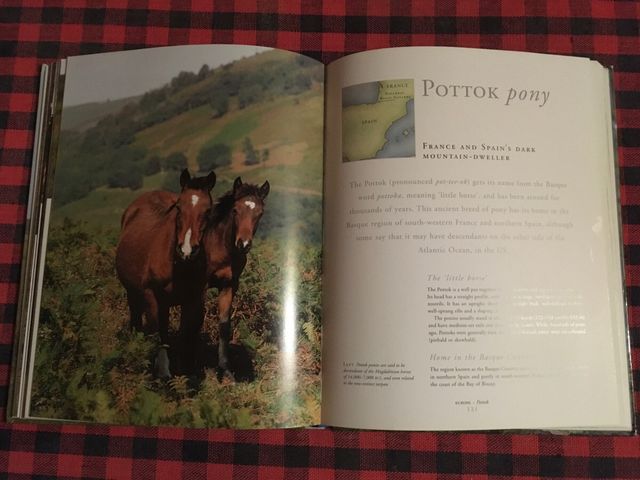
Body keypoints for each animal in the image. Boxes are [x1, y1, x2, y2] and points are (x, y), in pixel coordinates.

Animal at [115, 168, 216, 379]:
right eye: (178, 207)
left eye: (208, 210)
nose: (187, 250)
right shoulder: (150, 295)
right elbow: (155, 332)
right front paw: (159, 373)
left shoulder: (193, 300)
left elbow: (186, 334)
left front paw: (183, 374)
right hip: (134, 293)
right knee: (140, 322)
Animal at [202, 176, 270, 380]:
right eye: (235, 210)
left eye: (260, 213)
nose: (243, 244)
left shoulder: (229, 286)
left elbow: (224, 325)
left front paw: (225, 371)